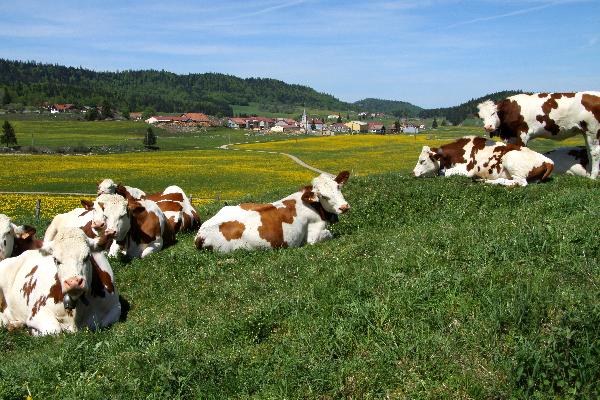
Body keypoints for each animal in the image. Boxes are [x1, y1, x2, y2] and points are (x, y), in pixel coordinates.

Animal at [195, 170, 350, 252]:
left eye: (338, 187)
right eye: (323, 196)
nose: (344, 207)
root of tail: (200, 234)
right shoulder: (313, 236)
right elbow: (329, 234)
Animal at [412, 135, 552, 187]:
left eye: (422, 161)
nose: (412, 173)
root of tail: (548, 161)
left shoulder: (467, 169)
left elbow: (445, 174)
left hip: (511, 159)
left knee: (520, 183)